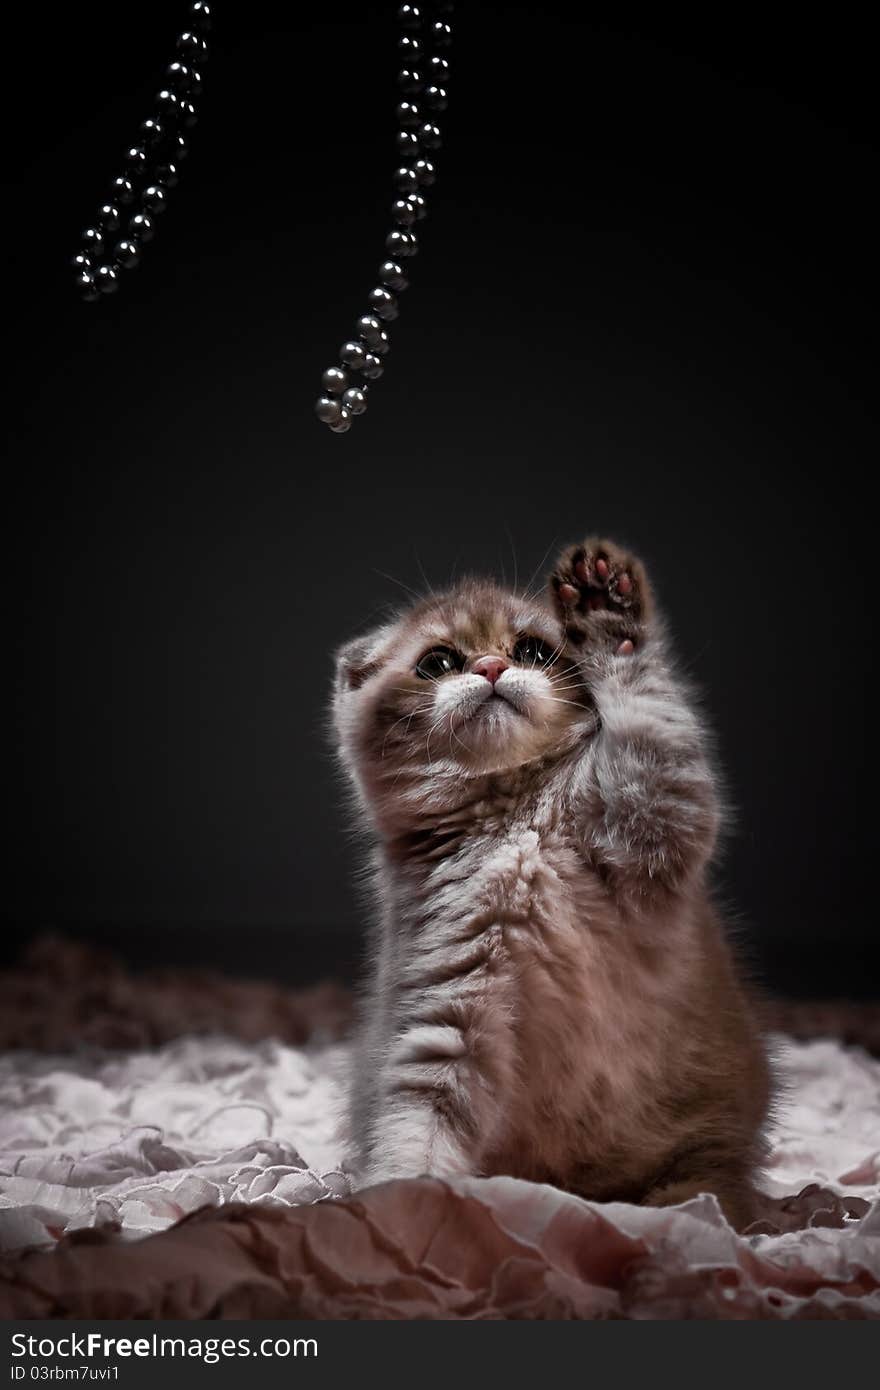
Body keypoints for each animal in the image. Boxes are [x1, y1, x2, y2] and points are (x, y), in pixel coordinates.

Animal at [329, 530, 767, 1228]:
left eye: (532, 650)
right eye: (437, 662)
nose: (489, 668)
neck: (518, 820)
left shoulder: (659, 811)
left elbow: (650, 717)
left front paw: (608, 614)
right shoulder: (446, 1009)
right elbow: (418, 1125)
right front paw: (406, 1203)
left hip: (703, 1147)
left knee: (707, 1186)